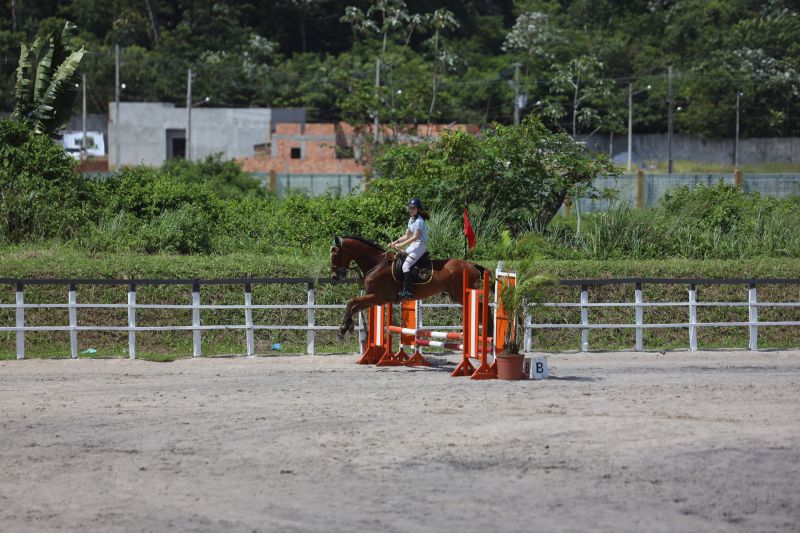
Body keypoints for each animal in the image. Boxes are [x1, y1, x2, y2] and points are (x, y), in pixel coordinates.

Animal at [330, 235, 488, 338]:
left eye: (335, 254)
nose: (334, 276)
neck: (376, 263)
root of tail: (471, 265)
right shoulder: (375, 299)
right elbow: (354, 306)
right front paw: (347, 326)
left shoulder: (377, 297)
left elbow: (351, 301)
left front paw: (343, 328)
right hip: (456, 295)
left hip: (461, 293)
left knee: (483, 308)